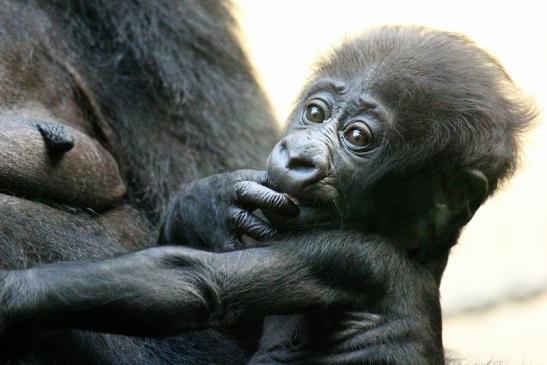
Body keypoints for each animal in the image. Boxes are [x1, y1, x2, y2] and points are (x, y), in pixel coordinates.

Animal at [159, 24, 536, 362]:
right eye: (314, 113)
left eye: (357, 136)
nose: (298, 157)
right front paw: (208, 204)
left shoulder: (347, 257)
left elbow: (201, 284)